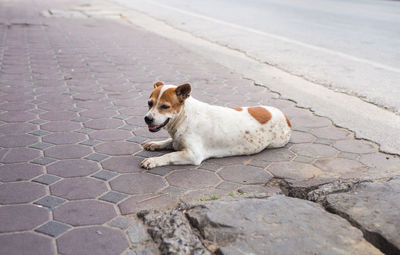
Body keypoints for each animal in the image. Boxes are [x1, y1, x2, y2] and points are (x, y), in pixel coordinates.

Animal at [140, 81, 290, 169]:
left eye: (165, 106)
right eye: (149, 103)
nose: (147, 118)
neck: (185, 116)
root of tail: (285, 116)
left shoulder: (193, 154)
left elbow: (169, 156)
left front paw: (153, 160)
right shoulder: (177, 141)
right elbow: (168, 142)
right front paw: (155, 144)